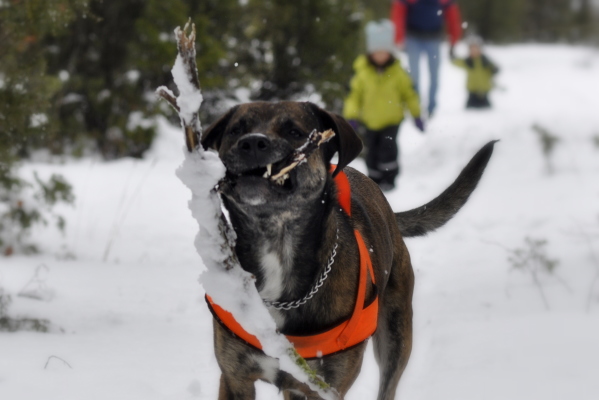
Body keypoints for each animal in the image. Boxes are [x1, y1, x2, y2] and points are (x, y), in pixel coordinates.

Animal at [202, 101, 496, 398]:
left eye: (294, 132)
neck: (277, 241)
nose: (251, 143)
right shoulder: (235, 378)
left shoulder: (326, 386)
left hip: (396, 337)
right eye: (236, 130)